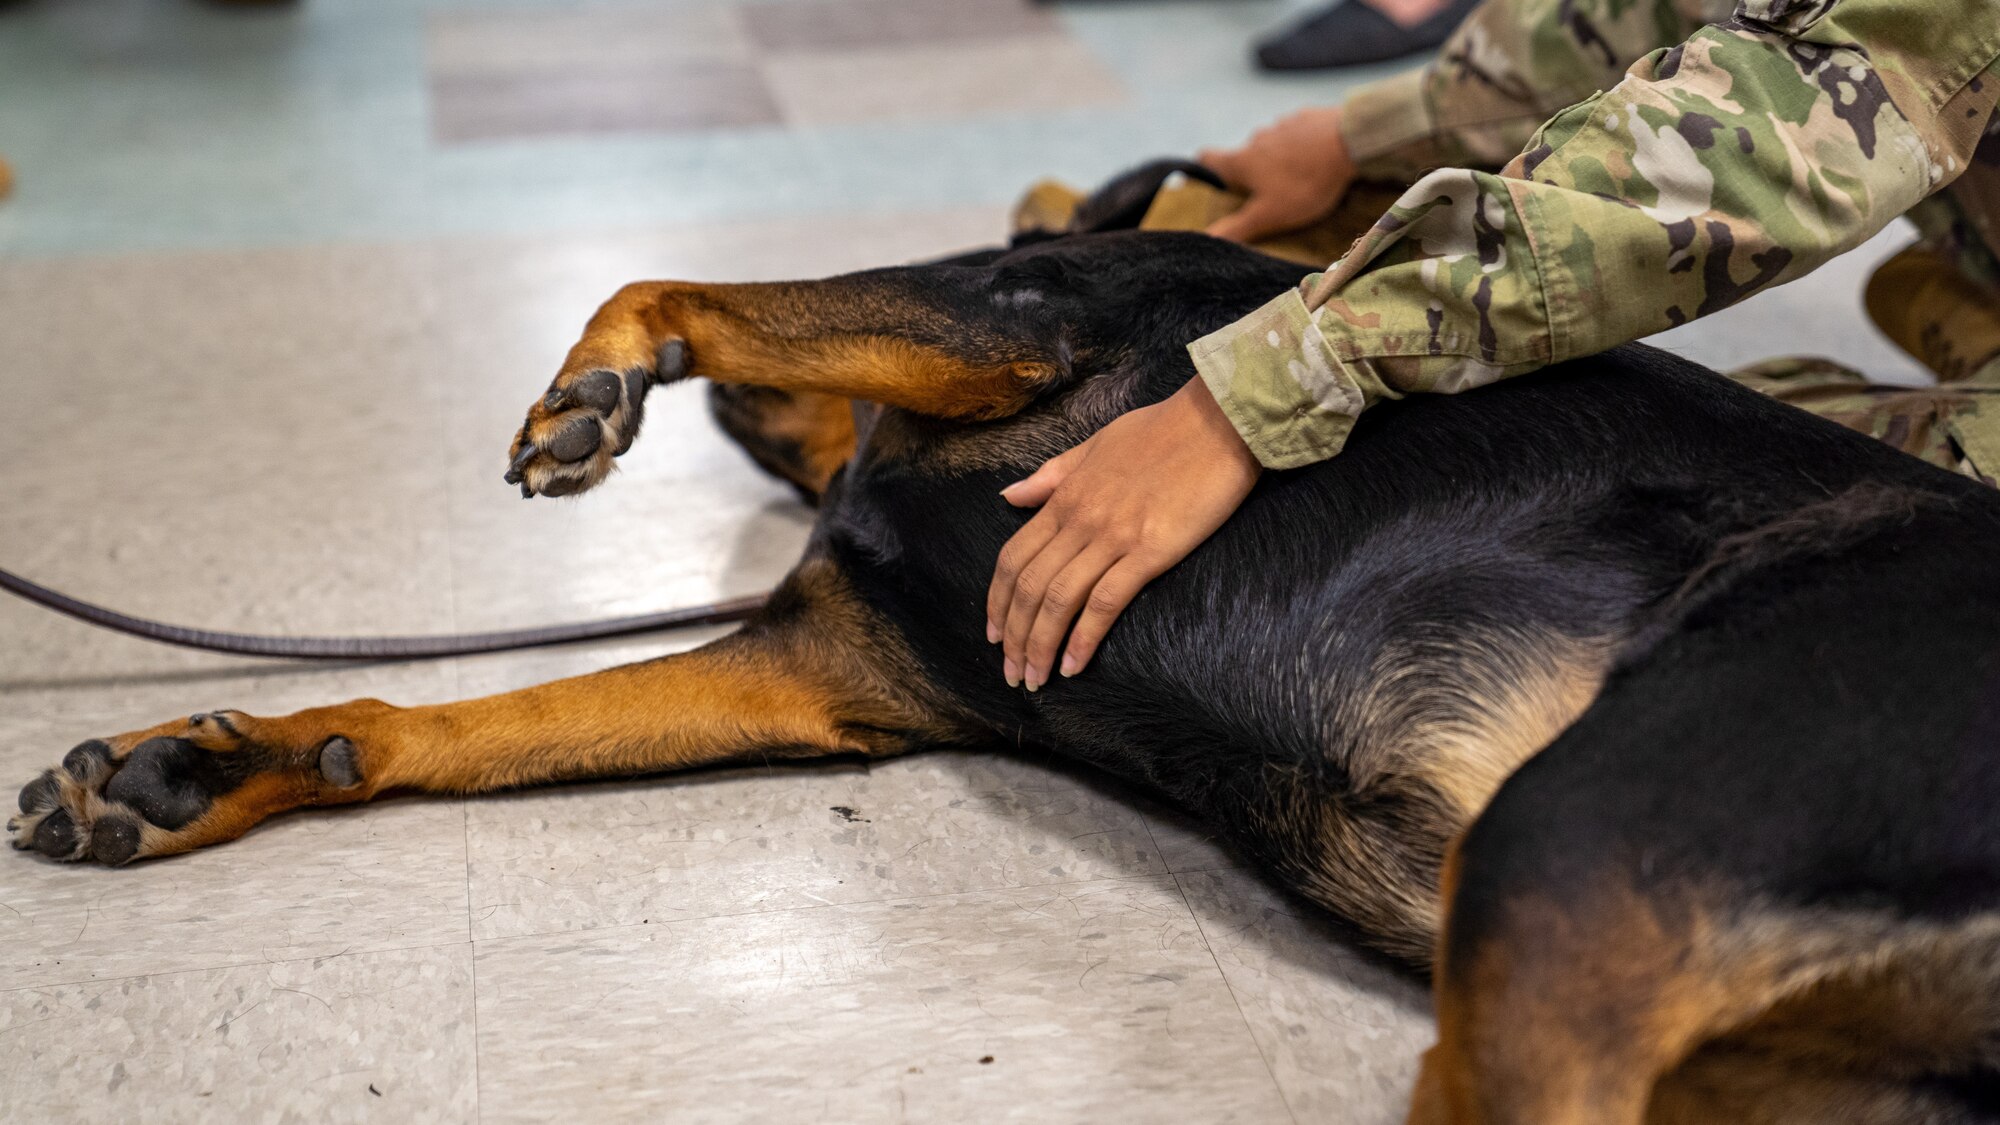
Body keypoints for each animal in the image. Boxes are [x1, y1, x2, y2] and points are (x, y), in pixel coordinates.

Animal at [11, 179, 2000, 1112]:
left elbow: (694, 288)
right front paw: (215, 764)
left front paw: (601, 378)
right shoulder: (812, 678)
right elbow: (467, 720)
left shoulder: (1018, 314)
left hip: (1573, 853)